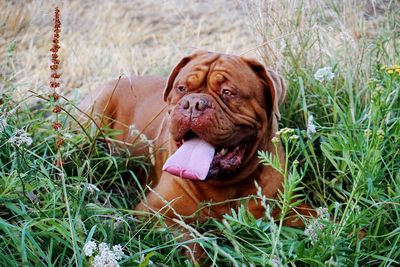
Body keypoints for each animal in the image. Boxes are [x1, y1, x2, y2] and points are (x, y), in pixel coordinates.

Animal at [81, 50, 312, 226]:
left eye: (228, 92)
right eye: (182, 88)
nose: (193, 103)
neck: (224, 186)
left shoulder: (292, 206)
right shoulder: (154, 210)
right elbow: (189, 243)